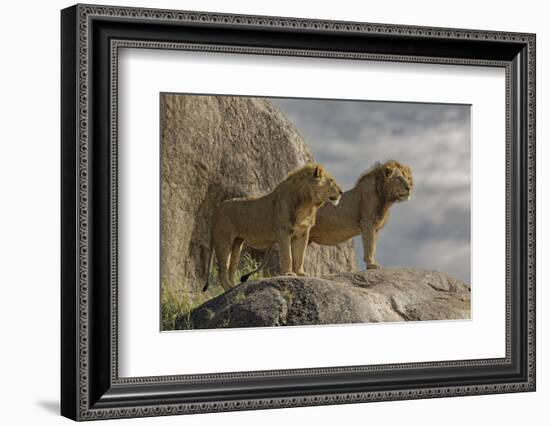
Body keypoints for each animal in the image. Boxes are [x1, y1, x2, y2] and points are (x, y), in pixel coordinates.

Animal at [203, 161, 342, 292]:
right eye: (331, 180)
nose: (341, 192)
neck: (308, 205)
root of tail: (216, 210)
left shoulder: (302, 232)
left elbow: (300, 254)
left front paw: (301, 273)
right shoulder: (283, 232)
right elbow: (288, 255)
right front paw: (289, 273)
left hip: (237, 243)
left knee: (231, 267)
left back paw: (234, 286)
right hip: (224, 240)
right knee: (222, 269)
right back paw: (229, 288)